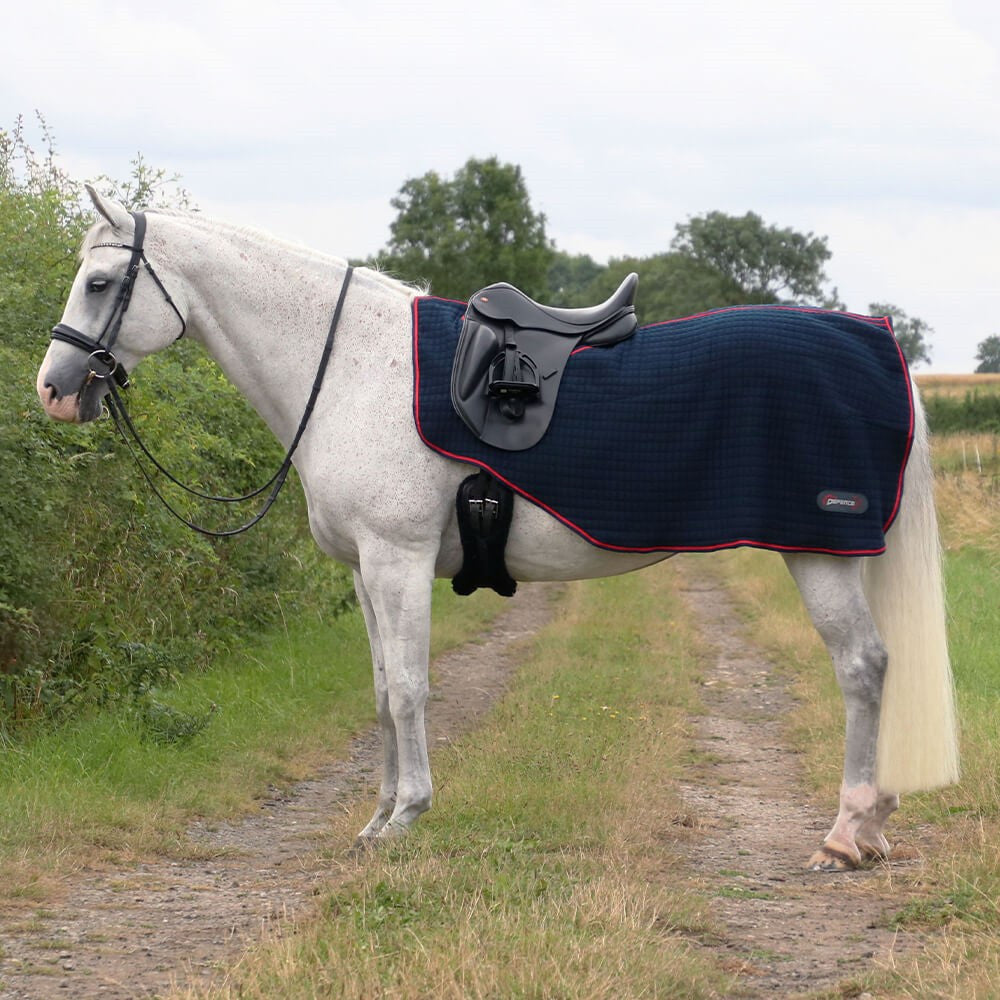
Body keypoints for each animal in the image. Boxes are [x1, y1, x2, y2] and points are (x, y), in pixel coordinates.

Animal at [36, 185, 959, 870]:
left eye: (99, 284)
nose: (54, 389)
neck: (349, 367)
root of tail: (879, 345)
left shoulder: (399, 559)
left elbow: (411, 688)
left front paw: (407, 817)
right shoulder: (365, 570)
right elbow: (381, 691)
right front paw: (376, 817)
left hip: (820, 552)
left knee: (863, 667)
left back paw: (846, 833)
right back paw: (873, 825)